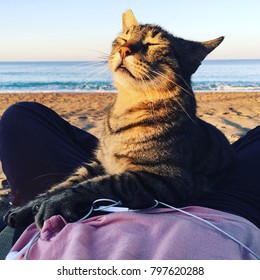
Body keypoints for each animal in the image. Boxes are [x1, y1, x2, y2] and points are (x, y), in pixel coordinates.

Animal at [4, 9, 234, 229]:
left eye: (153, 44)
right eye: (123, 39)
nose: (124, 50)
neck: (126, 107)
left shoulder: (166, 178)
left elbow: (100, 184)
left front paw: (55, 202)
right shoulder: (99, 162)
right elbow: (67, 182)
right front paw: (29, 206)